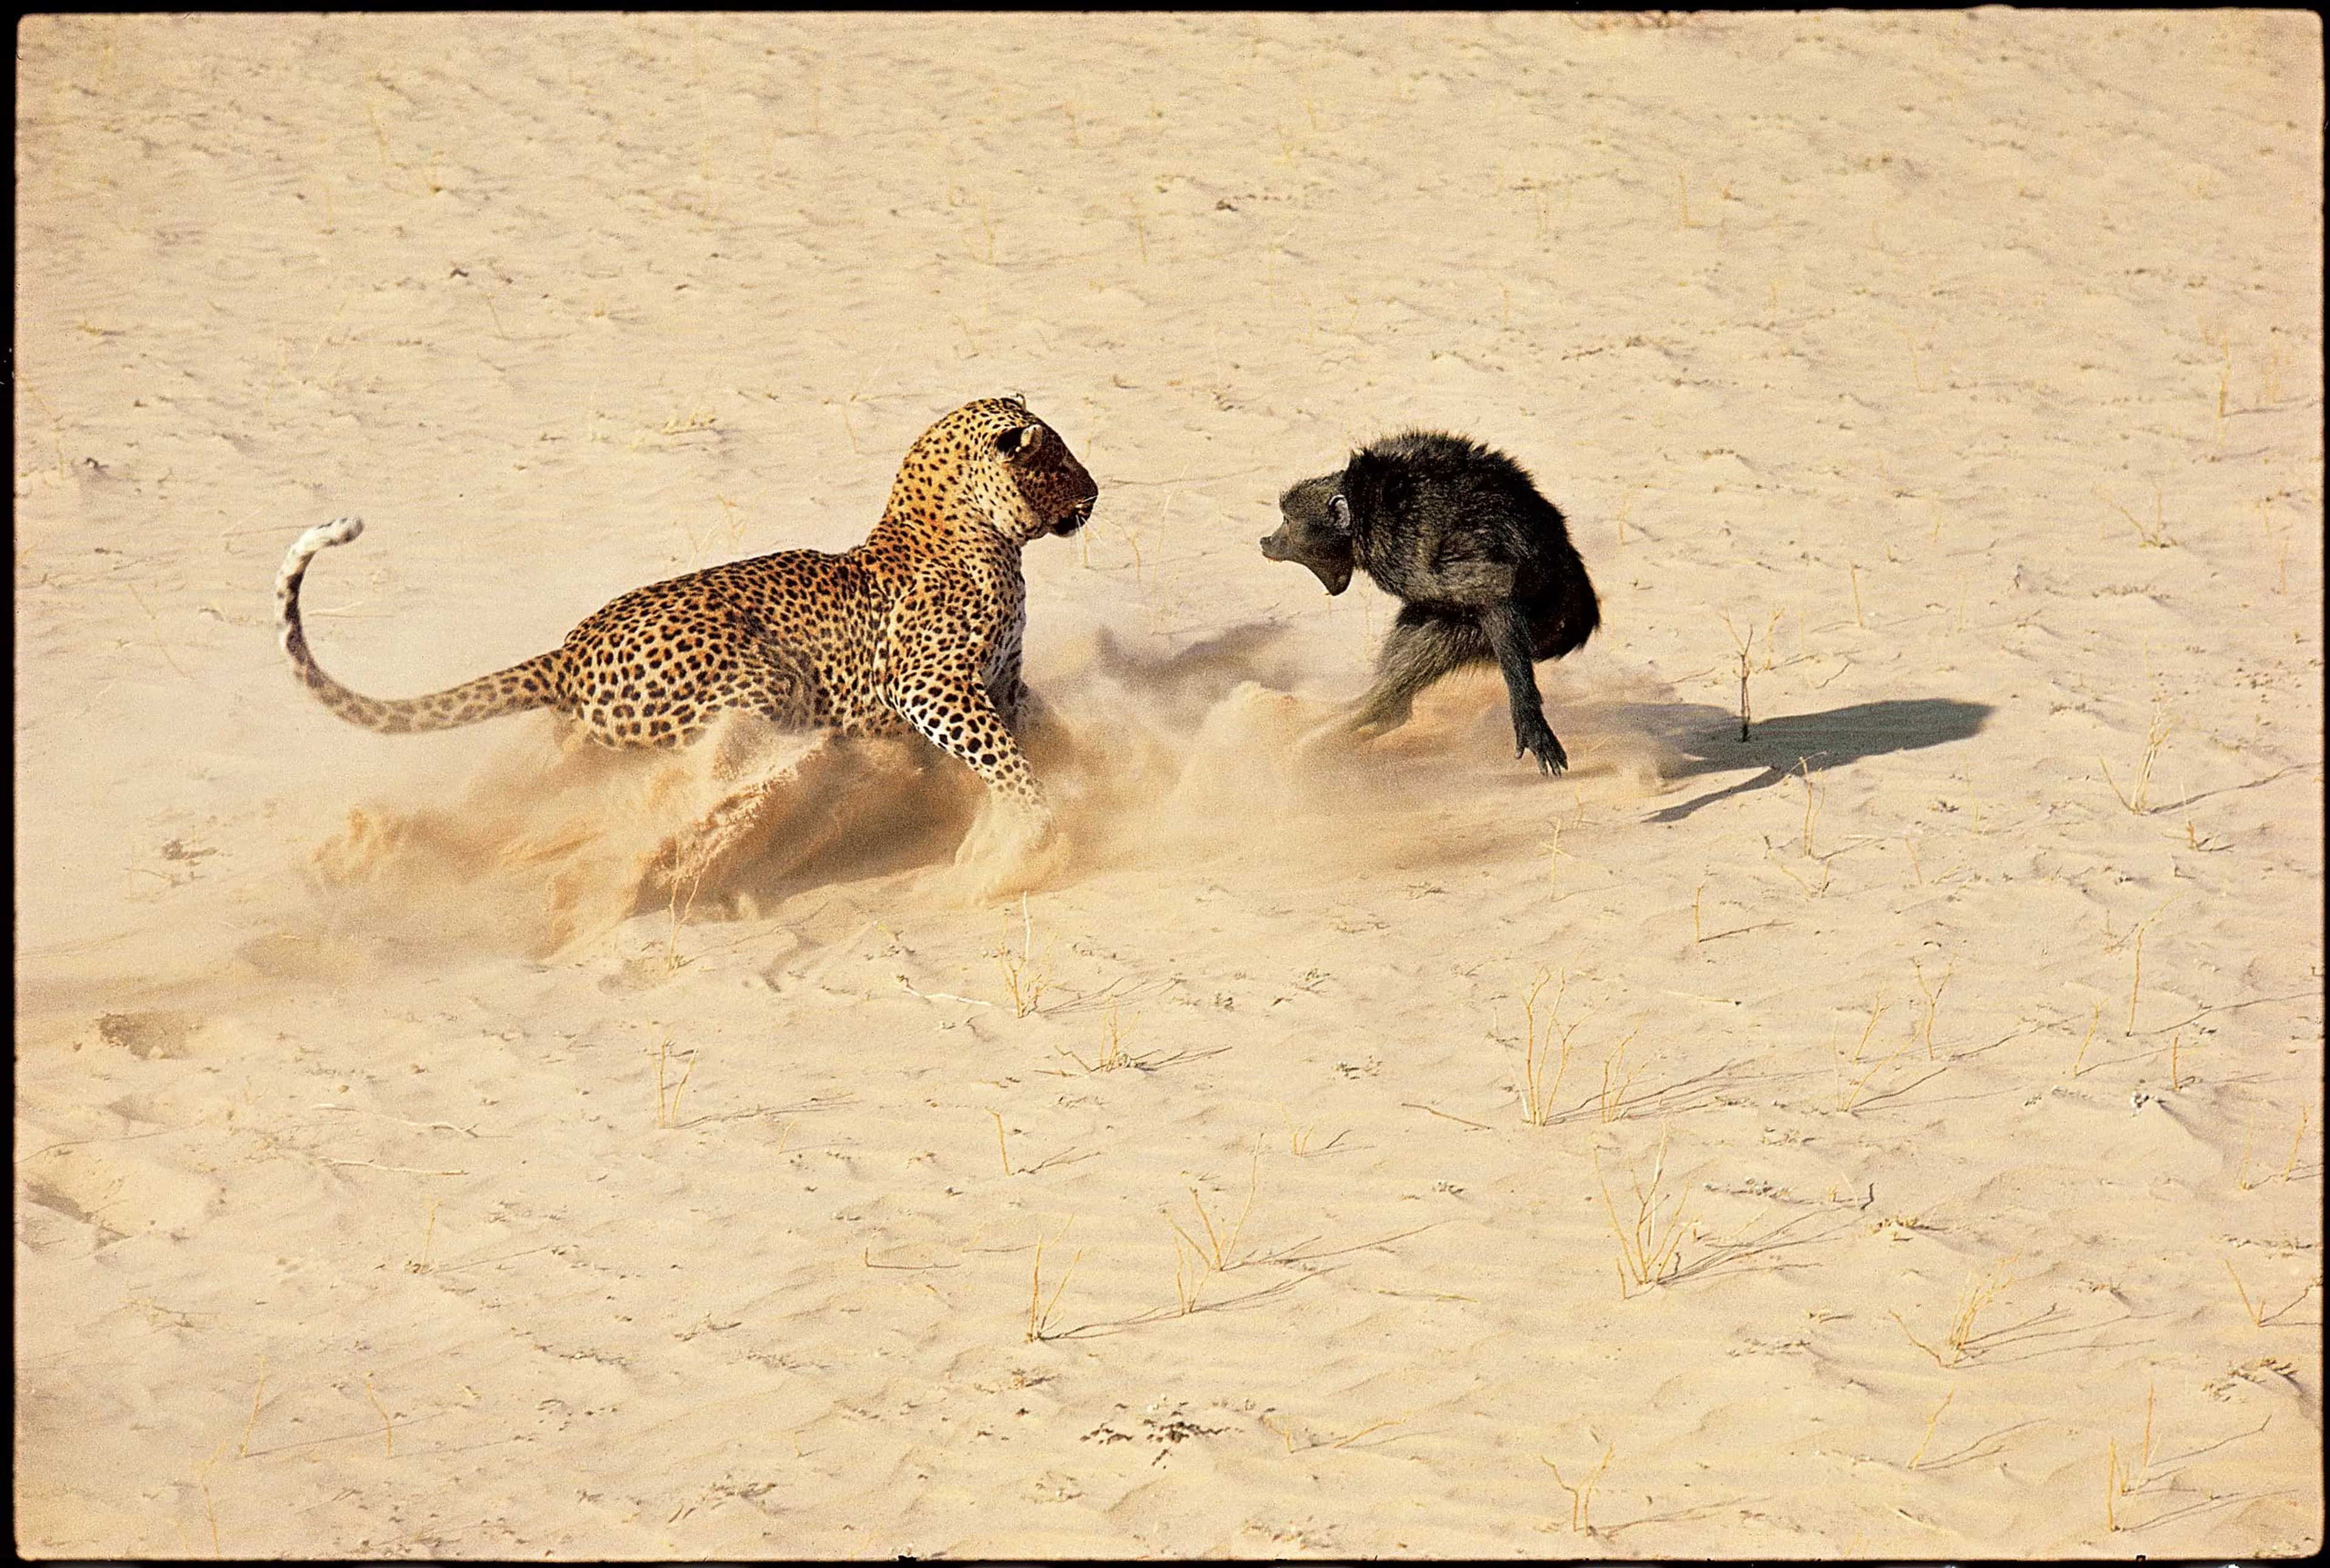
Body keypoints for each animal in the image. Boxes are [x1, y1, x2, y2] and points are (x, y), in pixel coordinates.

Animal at [277, 396, 1098, 878]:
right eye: (1057, 460)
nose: (1094, 493)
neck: (984, 535)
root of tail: (566, 652)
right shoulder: (929, 684)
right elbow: (1004, 758)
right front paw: (1037, 823)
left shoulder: (1003, 680)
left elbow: (1028, 731)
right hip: (761, 680)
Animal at [1259, 430, 1600, 774]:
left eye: (1287, 520)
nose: (1266, 542)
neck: (1363, 506)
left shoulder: (1406, 543)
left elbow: (1495, 590)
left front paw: (1529, 718)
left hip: (1544, 626)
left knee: (1446, 637)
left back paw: (1335, 736)